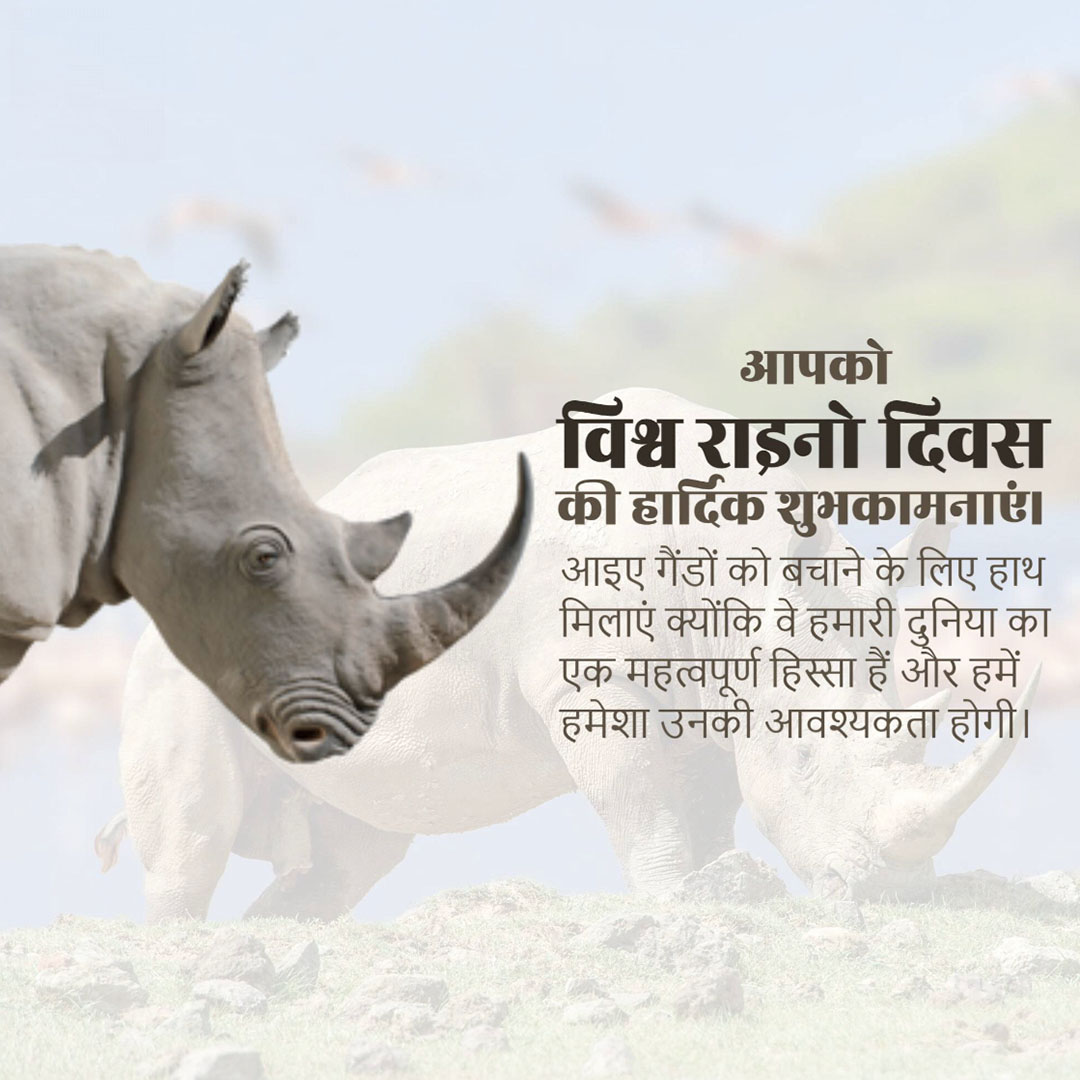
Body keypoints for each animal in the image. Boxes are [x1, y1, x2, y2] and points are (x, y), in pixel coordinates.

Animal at [99, 388, 1037, 920]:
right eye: (805, 754)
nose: (895, 895)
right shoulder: (591, 686)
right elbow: (645, 802)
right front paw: (677, 904)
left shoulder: (710, 692)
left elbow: (703, 803)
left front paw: (719, 888)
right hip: (175, 664)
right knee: (195, 838)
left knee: (355, 848)